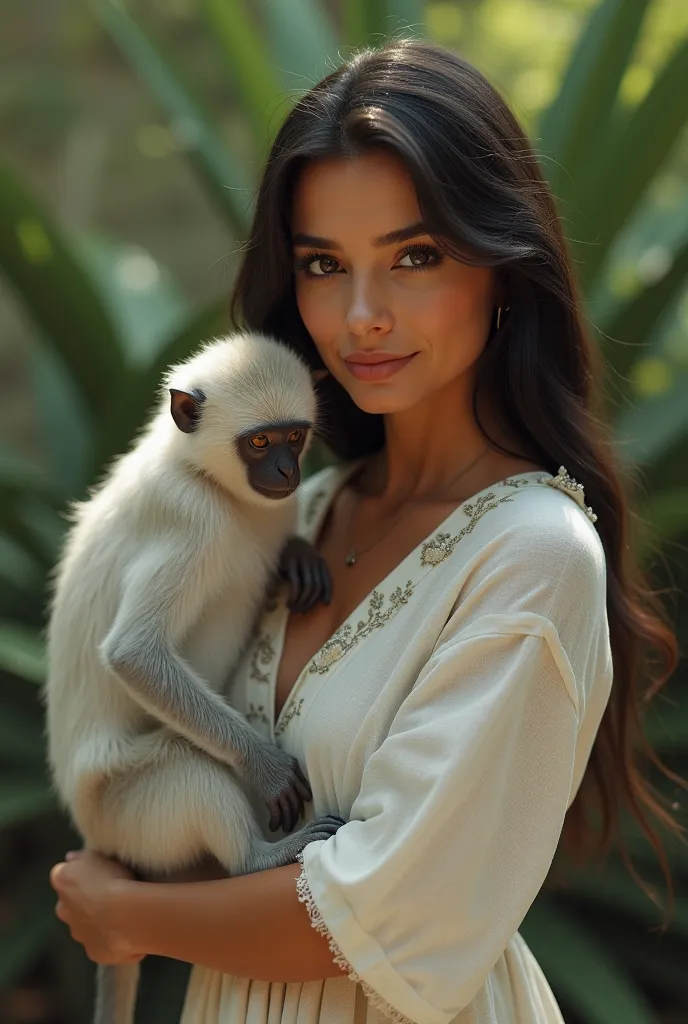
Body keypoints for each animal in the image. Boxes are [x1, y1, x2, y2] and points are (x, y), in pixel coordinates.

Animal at [44, 333, 344, 1024]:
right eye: (259, 444)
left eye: (295, 437)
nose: (285, 475)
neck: (202, 474)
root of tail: (95, 833)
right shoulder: (192, 518)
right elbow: (133, 653)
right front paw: (266, 768)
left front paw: (296, 556)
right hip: (122, 809)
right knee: (191, 767)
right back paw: (259, 857)